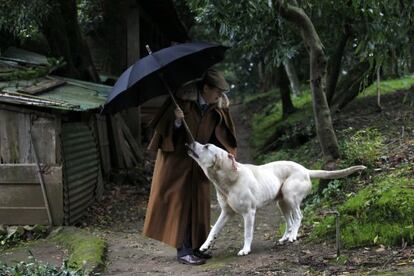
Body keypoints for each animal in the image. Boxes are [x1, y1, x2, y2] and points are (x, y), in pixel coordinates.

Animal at [185, 142, 366, 256]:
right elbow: (214, 229)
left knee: (298, 217)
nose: (190, 141)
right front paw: (205, 245)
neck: (227, 179)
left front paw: (246, 249)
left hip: (290, 196)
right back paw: (286, 236)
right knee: (289, 221)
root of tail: (305, 170)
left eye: (207, 146)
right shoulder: (226, 213)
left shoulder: (249, 213)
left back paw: (293, 236)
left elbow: (247, 233)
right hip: (282, 202)